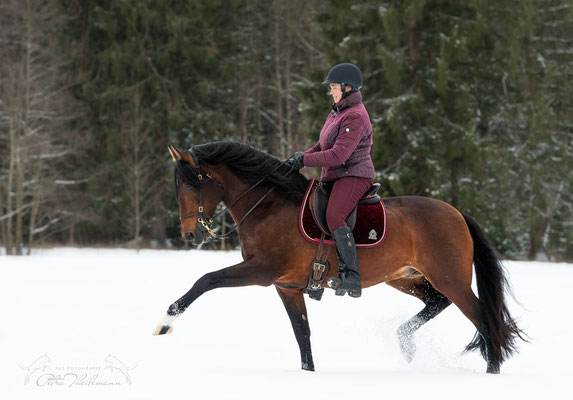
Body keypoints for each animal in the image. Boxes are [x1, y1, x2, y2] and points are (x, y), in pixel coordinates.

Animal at [152, 140, 524, 372]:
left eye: (191, 184)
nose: (190, 234)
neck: (269, 206)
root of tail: (458, 214)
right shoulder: (286, 286)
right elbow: (302, 335)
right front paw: (308, 373)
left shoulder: (260, 271)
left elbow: (206, 280)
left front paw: (166, 322)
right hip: (405, 278)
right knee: (437, 303)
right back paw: (405, 342)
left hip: (450, 279)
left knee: (484, 320)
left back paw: (491, 374)